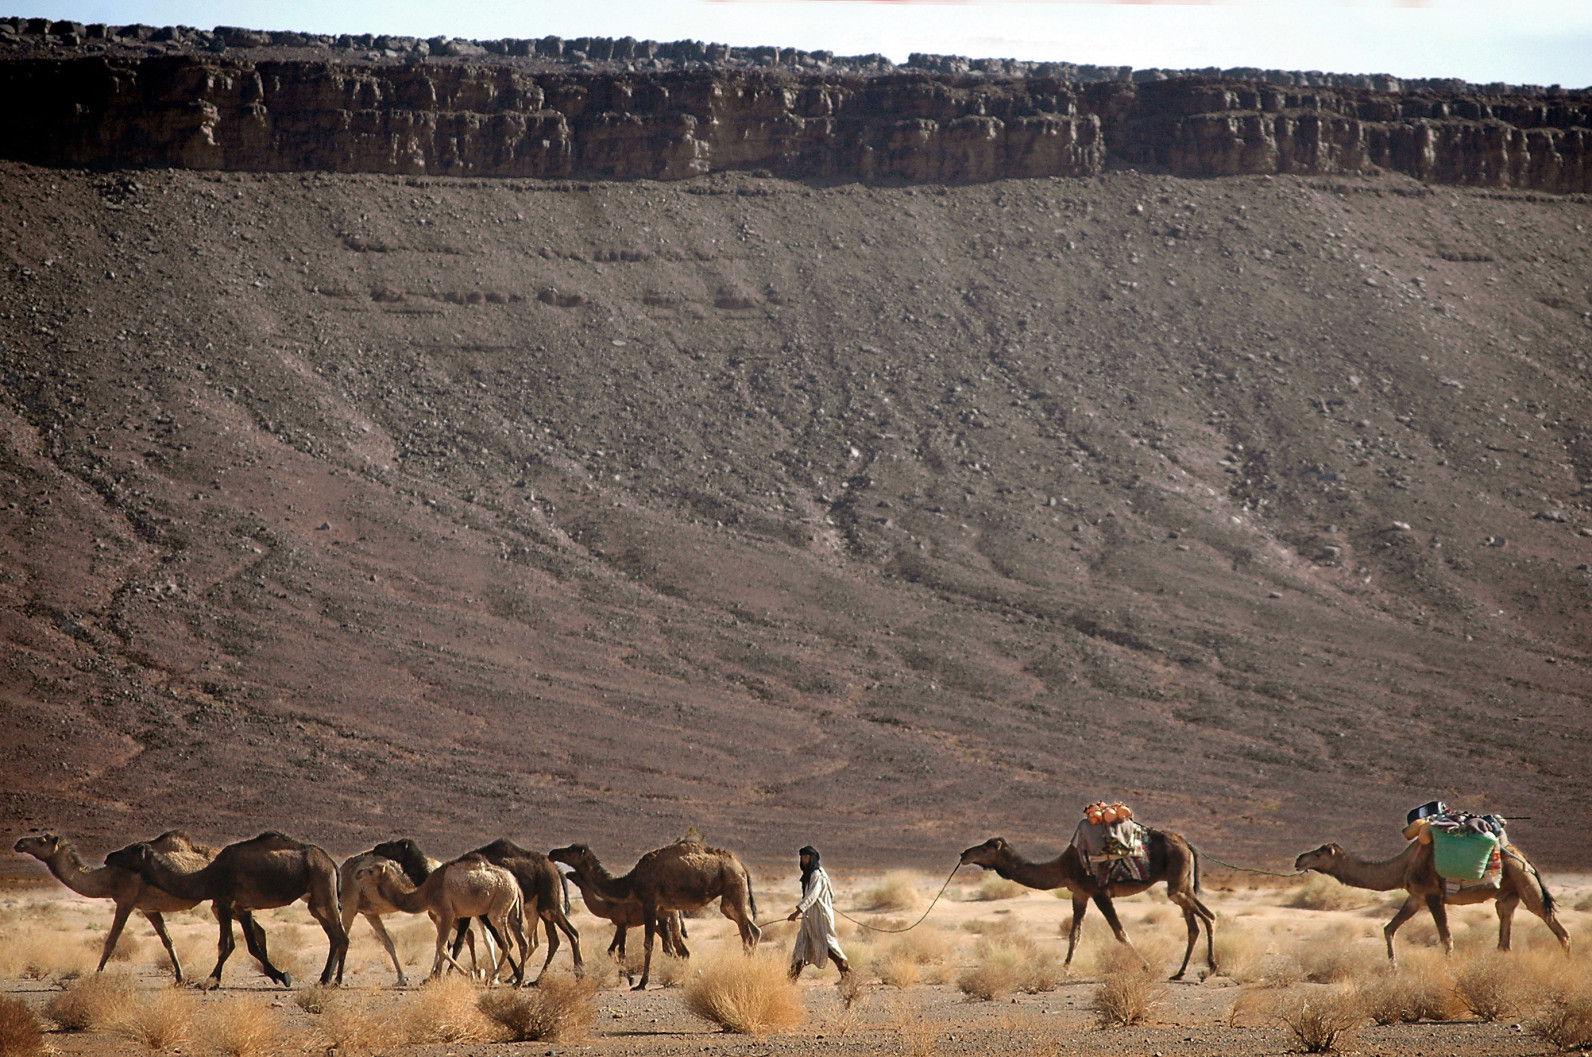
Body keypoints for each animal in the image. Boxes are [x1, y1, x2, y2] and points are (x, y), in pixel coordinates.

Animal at [104, 827, 347, 986]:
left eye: (131, 849)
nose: (108, 856)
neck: (206, 877)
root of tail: (330, 861)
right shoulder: (241, 907)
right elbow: (251, 946)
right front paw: (281, 975)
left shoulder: (223, 902)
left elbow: (225, 945)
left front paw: (210, 980)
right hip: (315, 901)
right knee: (334, 936)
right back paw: (324, 979)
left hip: (324, 888)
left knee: (341, 936)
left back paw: (333, 981)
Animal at [355, 853, 528, 986]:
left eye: (371, 870)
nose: (358, 873)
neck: (425, 893)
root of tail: (515, 883)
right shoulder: (440, 915)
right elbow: (440, 945)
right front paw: (436, 977)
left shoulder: (447, 913)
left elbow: (443, 948)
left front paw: (466, 974)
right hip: (511, 909)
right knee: (520, 942)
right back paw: (518, 981)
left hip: (498, 906)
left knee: (507, 943)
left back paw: (493, 978)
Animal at [550, 840, 760, 993]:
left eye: (570, 850)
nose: (553, 852)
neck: (631, 882)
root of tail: (741, 866)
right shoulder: (662, 909)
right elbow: (667, 947)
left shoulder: (649, 903)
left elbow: (648, 944)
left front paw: (641, 983)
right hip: (730, 899)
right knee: (751, 928)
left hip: (733, 887)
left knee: (747, 935)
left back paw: (745, 972)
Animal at [955, 834, 1216, 980]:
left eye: (987, 847)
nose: (964, 853)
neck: (1064, 867)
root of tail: (1186, 843)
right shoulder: (1080, 894)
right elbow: (1075, 934)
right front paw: (1065, 969)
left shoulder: (1099, 892)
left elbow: (1120, 933)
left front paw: (1146, 965)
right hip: (1182, 883)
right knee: (1195, 923)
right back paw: (1180, 972)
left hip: (1177, 881)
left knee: (1208, 917)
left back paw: (1210, 967)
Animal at [1299, 840, 1572, 961]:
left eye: (1320, 853)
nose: (1299, 859)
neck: (1403, 866)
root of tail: (1522, 857)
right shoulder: (1416, 897)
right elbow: (1389, 928)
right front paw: (1393, 967)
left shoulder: (1432, 895)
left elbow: (1446, 938)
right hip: (1507, 894)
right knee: (1504, 933)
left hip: (1524, 881)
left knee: (1554, 923)